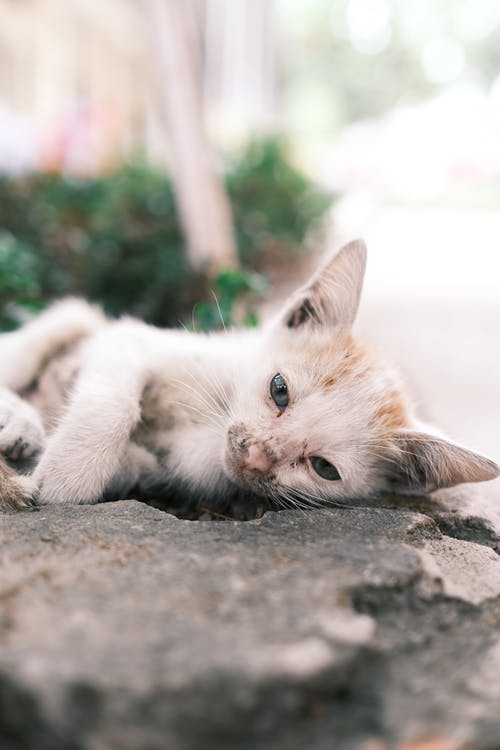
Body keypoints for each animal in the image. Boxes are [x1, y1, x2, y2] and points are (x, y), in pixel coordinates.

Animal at [0, 238, 500, 516]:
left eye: (324, 468)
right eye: (279, 390)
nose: (257, 455)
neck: (208, 422)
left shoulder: (180, 470)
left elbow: (136, 466)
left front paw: (68, 472)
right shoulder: (130, 337)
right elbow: (114, 399)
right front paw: (70, 475)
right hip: (73, 316)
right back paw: (17, 418)